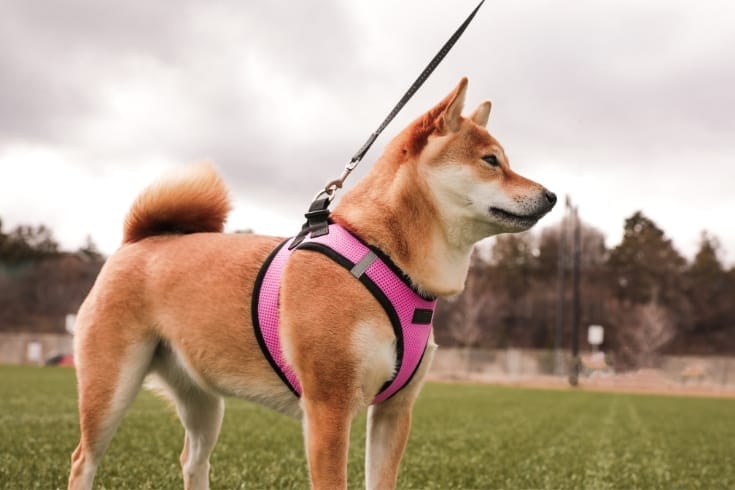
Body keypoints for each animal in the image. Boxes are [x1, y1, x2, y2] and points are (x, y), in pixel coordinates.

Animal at [69, 78, 556, 488]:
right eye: (491, 161)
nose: (552, 195)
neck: (386, 257)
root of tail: (138, 241)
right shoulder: (328, 407)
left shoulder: (395, 411)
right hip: (110, 389)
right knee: (82, 460)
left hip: (202, 400)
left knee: (192, 459)